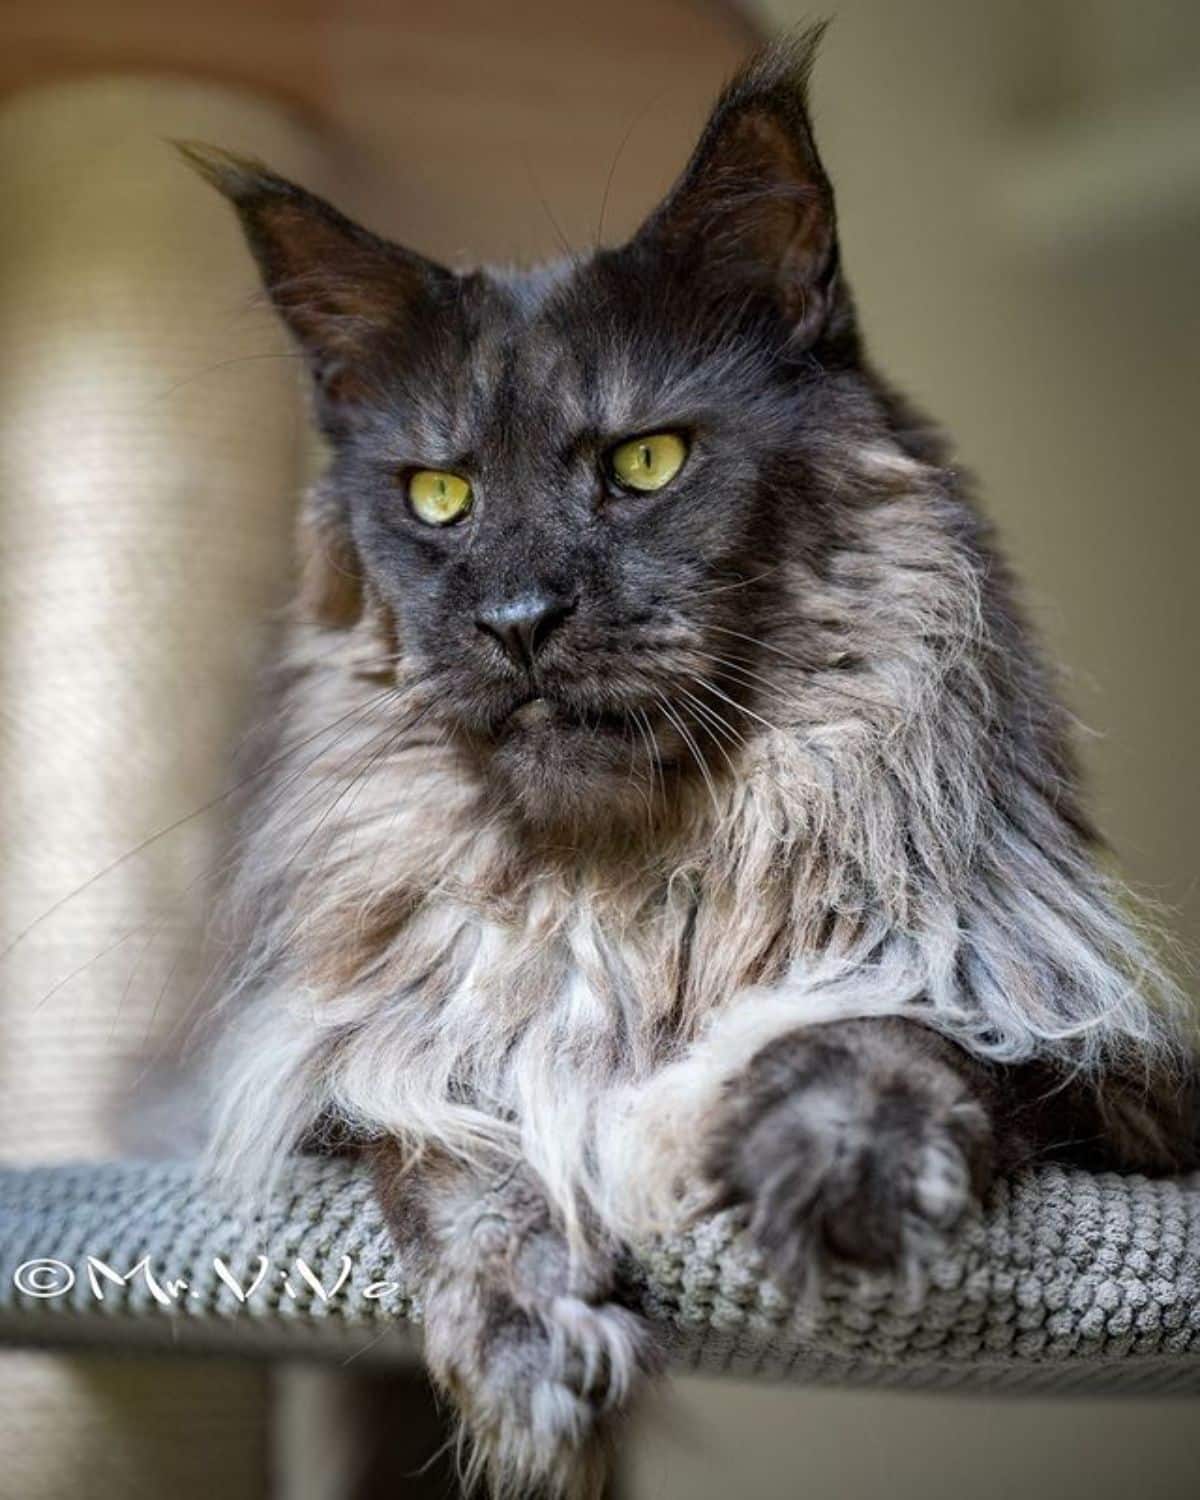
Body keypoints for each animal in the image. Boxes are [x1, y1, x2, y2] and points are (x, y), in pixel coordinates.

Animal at [183, 32, 1194, 1500]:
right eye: (441, 497)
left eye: (647, 461)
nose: (519, 619)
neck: (637, 900)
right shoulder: (367, 1066)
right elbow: (460, 1148)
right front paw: (531, 1355)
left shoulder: (1101, 1065)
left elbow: (882, 1025)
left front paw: (842, 1170)